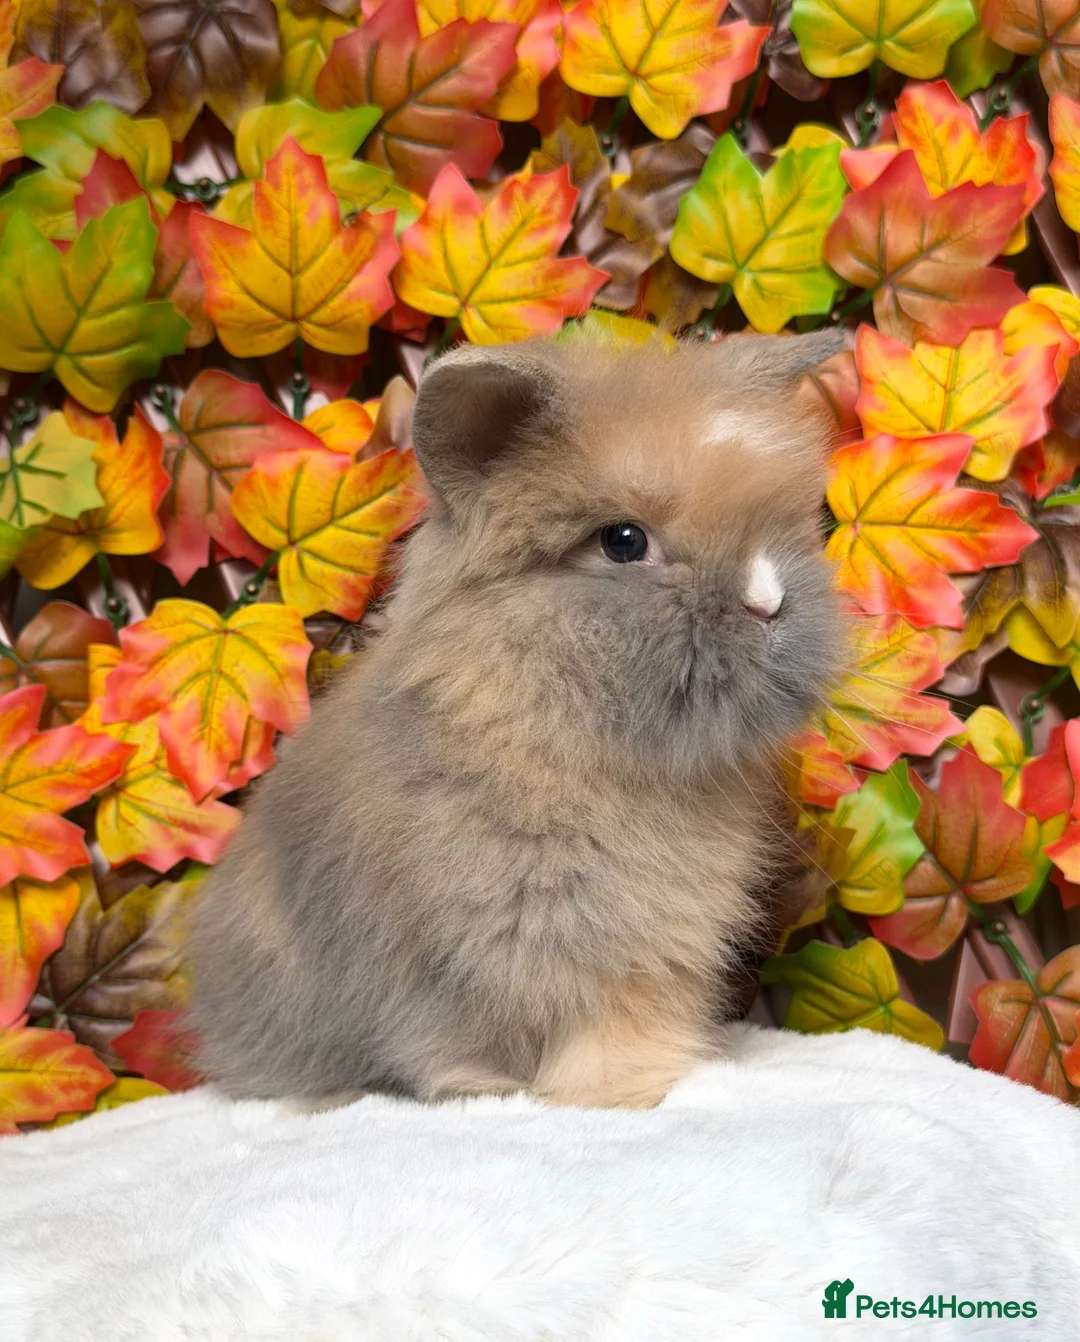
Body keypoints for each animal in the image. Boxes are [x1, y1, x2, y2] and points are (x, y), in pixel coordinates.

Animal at [189, 324, 846, 1111]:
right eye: (623, 541)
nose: (767, 602)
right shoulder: (443, 960)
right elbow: (452, 1037)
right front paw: (491, 1090)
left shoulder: (646, 951)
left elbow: (623, 1020)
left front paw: (627, 1088)